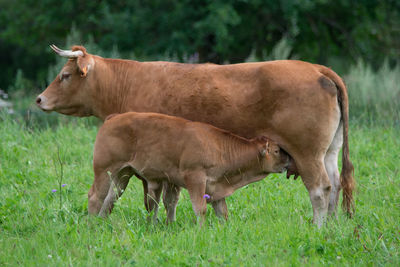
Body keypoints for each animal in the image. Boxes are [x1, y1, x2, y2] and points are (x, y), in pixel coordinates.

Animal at [37, 45, 354, 227]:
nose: (40, 99)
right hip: (328, 153)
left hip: (307, 154)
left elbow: (153, 199)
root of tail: (317, 68)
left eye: (65, 75)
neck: (129, 83)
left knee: (320, 189)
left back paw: (318, 226)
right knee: (336, 185)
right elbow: (169, 198)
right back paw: (333, 225)